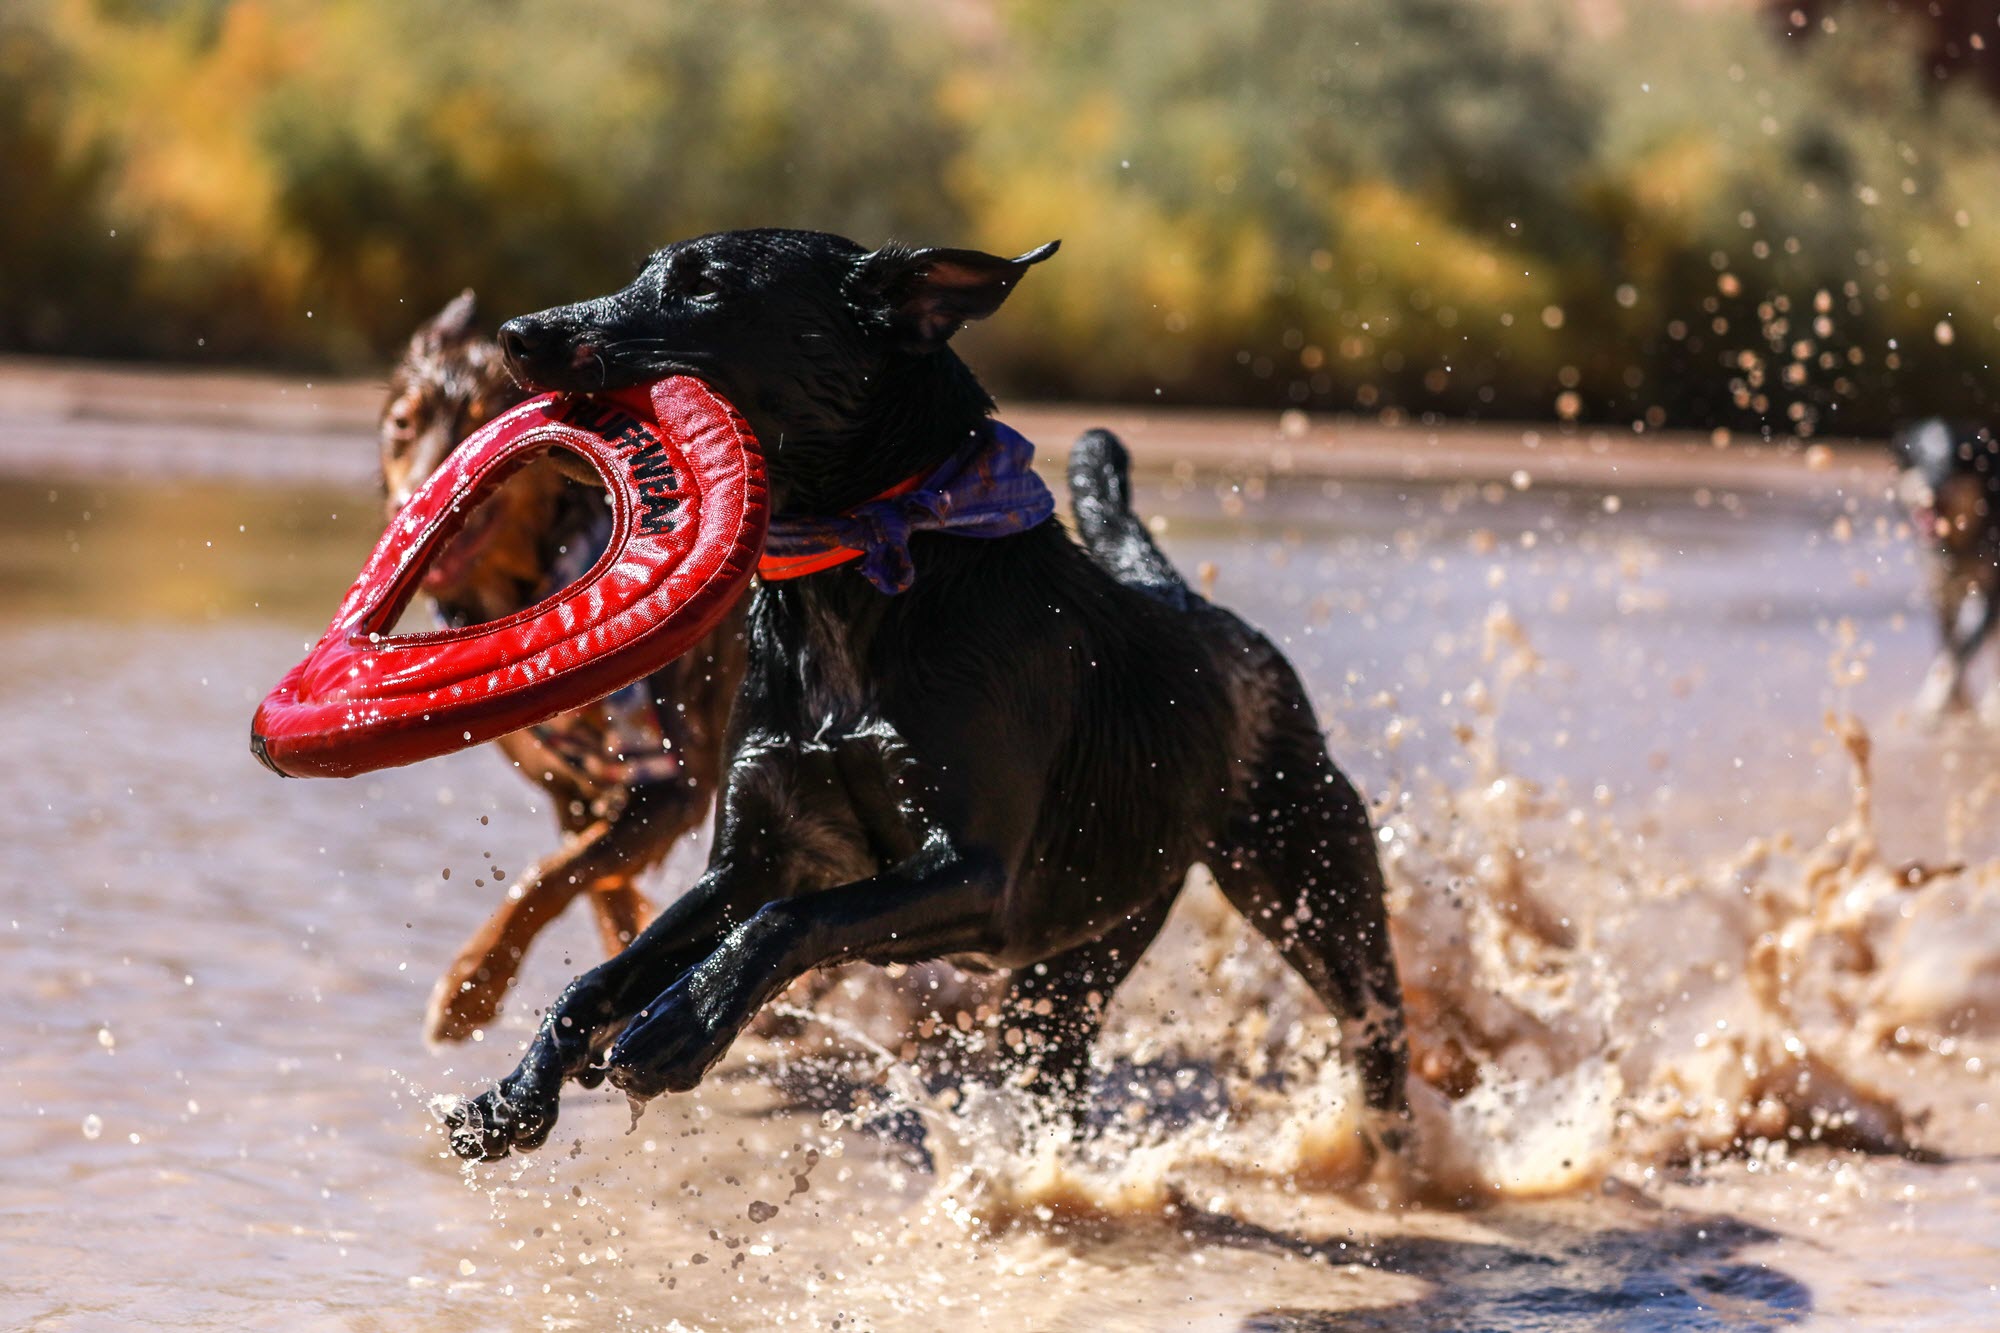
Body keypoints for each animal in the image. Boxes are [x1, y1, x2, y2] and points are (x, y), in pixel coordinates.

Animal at [378, 290, 748, 1040]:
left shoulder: (675, 783)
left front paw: (470, 988)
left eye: (483, 421)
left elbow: (551, 877)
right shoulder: (569, 792)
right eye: (404, 423)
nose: (412, 507)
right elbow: (598, 887)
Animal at [442, 233, 1408, 1160]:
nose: (517, 335)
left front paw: (683, 1023)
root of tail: (1190, 604)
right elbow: (603, 973)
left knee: (1376, 1030)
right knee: (1054, 1073)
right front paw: (513, 1095)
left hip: (1315, 888)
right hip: (1082, 955)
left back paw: (1393, 1158)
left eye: (704, 285)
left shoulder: (973, 875)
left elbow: (791, 920)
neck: (853, 582)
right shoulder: (751, 857)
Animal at [1888, 420, 2000, 720]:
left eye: (1951, 464)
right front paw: (1957, 705)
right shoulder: (1942, 591)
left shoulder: (1991, 596)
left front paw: (1934, 701)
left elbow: (1961, 650)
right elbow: (1949, 646)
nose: (1932, 491)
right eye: (1919, 458)